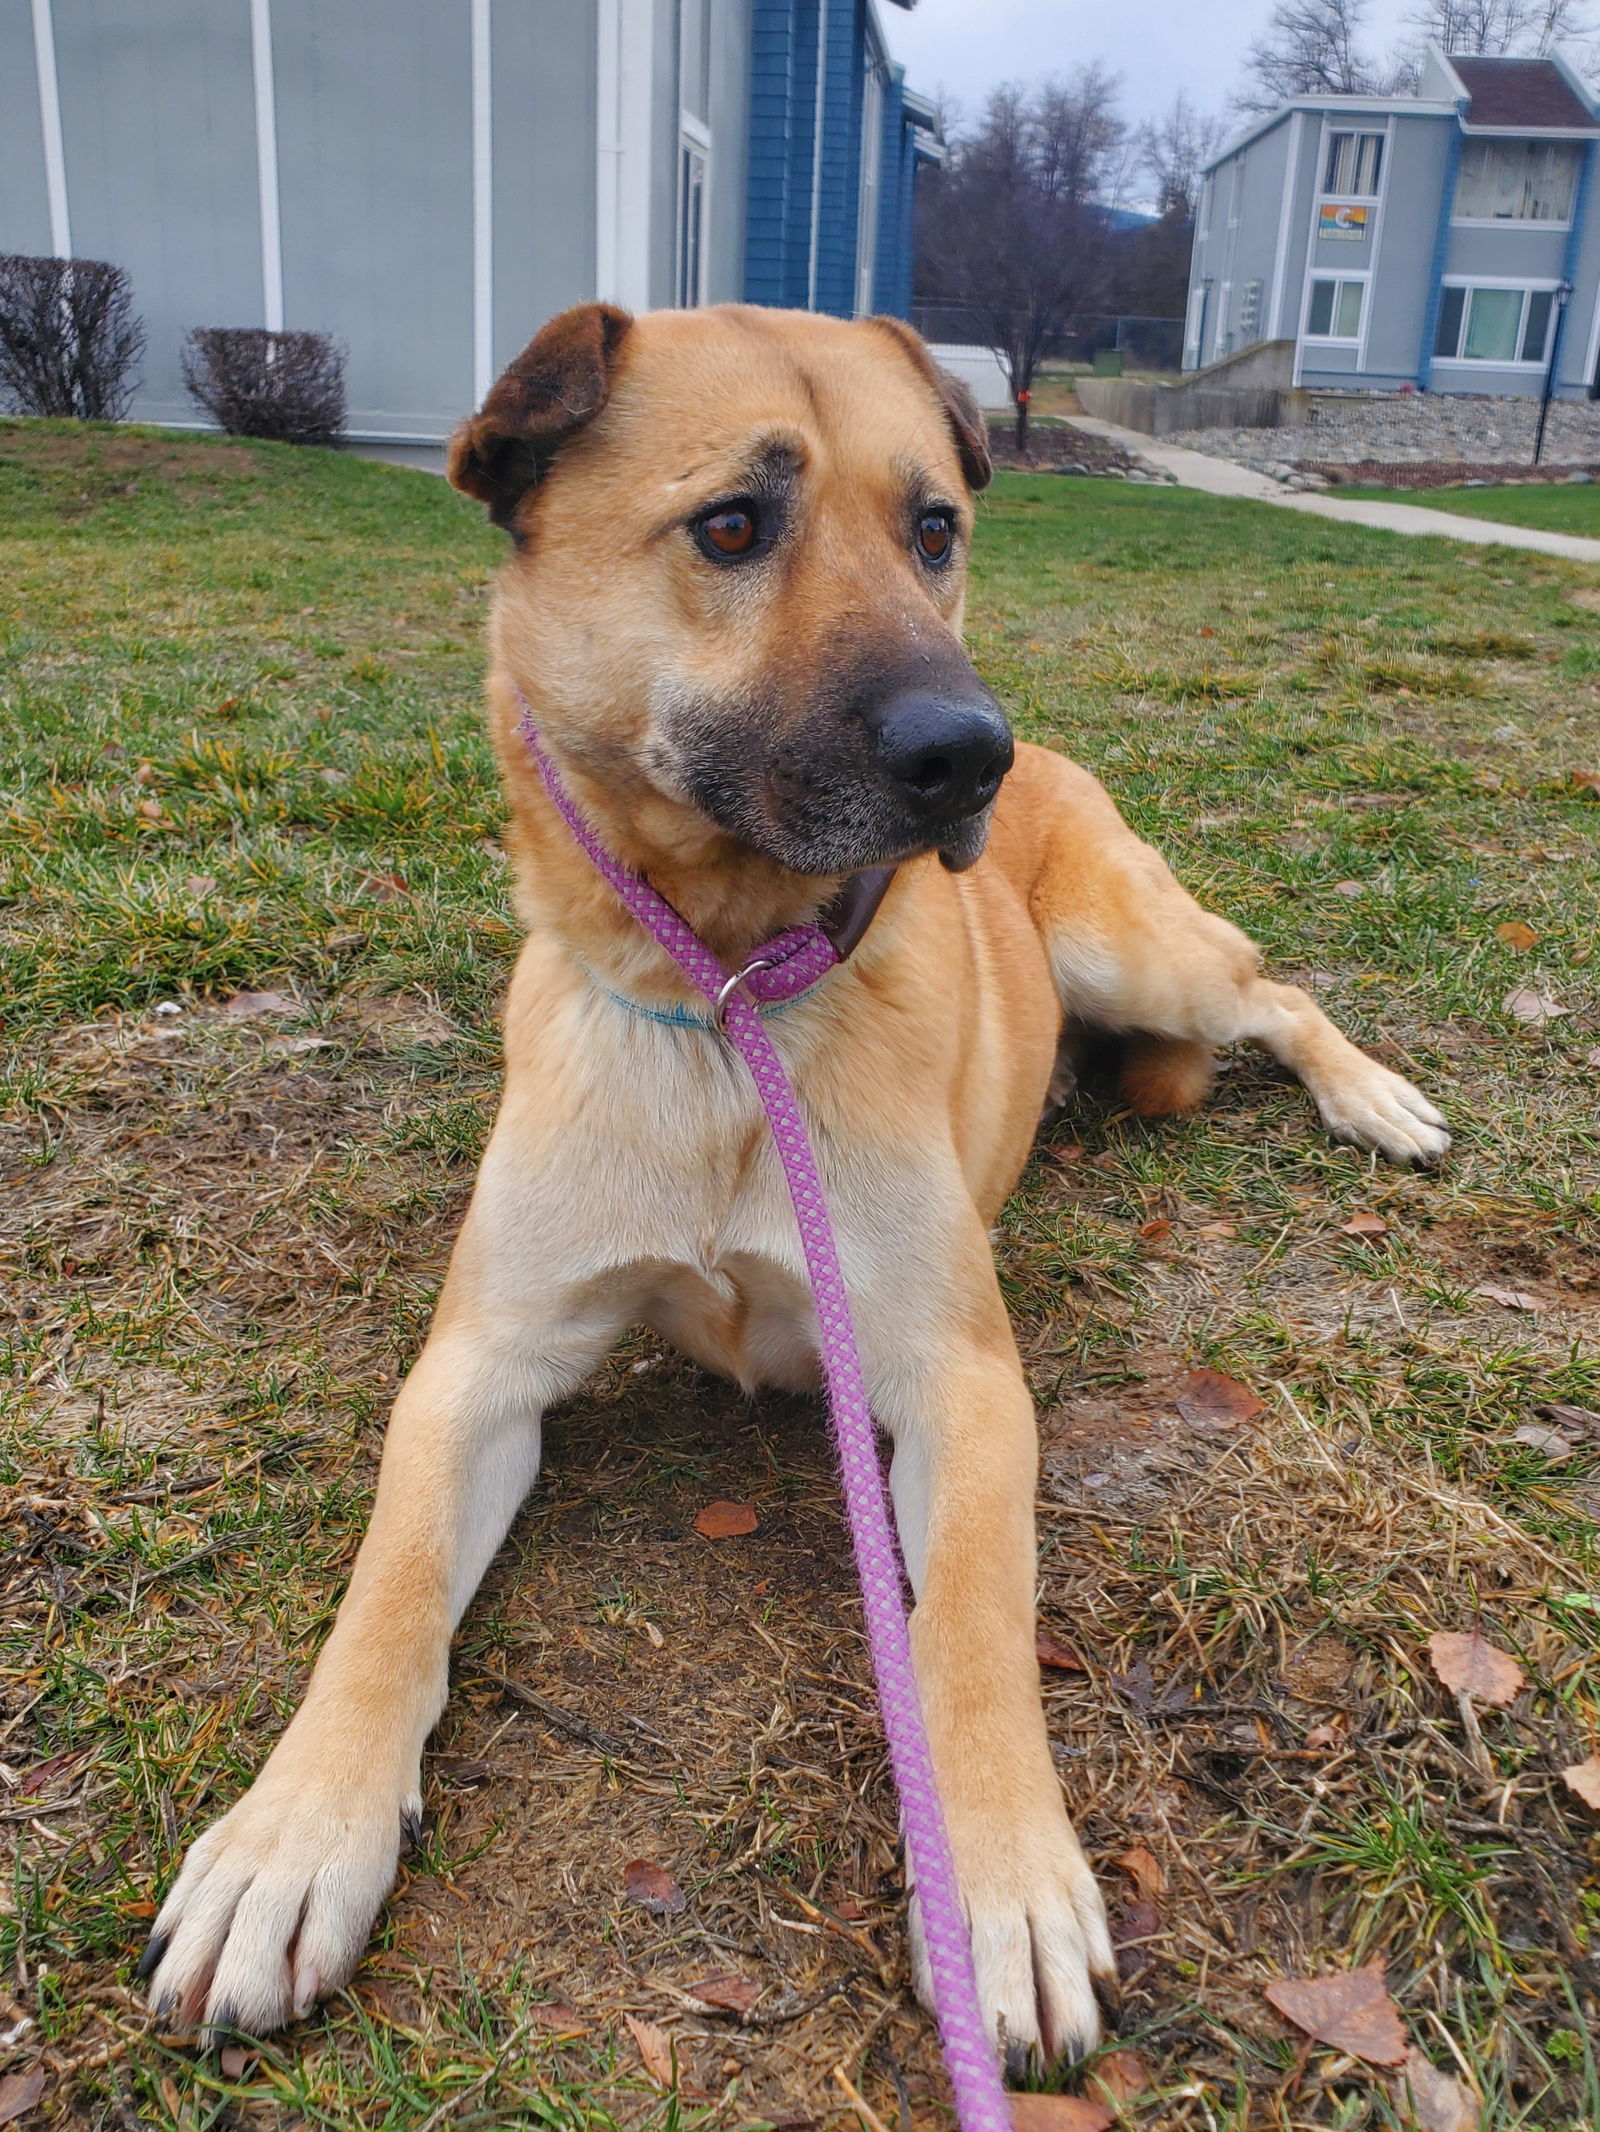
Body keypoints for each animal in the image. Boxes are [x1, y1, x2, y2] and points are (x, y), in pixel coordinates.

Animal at [144, 309, 1450, 2072]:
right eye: (732, 526)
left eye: (935, 530)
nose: (974, 755)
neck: (728, 1008)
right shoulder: (478, 1372)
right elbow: (390, 1589)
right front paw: (292, 1839)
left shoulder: (959, 1386)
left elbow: (965, 1632)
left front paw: (997, 1884)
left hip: (1141, 951)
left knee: (1278, 995)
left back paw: (1375, 1099)